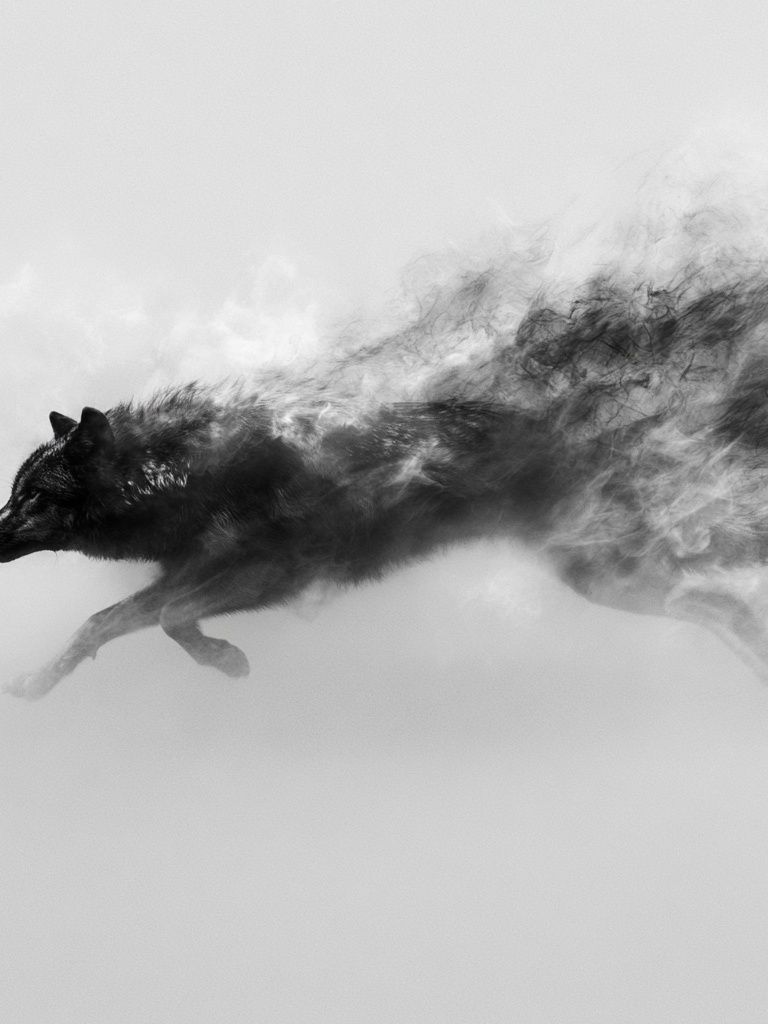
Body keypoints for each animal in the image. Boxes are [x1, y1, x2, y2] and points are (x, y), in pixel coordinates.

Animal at [5, 270, 768, 698]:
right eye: (15, 491)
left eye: (37, 496)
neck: (189, 473)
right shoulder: (191, 574)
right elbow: (104, 622)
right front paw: (35, 687)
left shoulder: (272, 573)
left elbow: (163, 618)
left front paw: (226, 662)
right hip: (607, 577)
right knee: (727, 607)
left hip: (615, 572)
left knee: (727, 596)